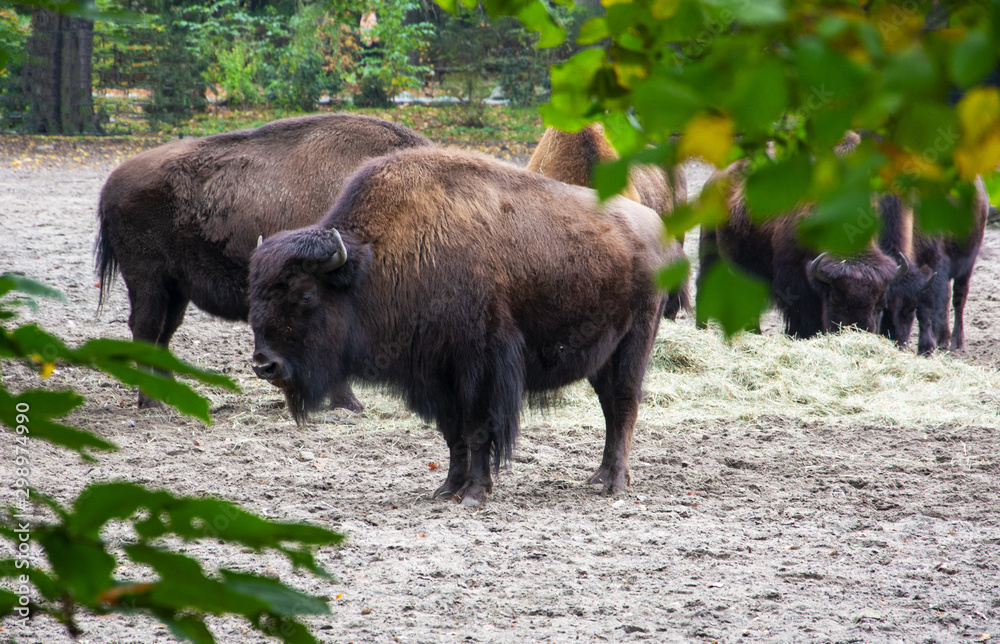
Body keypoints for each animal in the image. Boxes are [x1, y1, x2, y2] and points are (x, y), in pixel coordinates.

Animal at [94, 113, 434, 410]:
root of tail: (110, 185)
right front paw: (349, 404)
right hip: (147, 279)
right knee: (146, 328)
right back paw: (151, 402)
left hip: (176, 287)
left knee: (164, 333)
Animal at [248, 146, 680, 504]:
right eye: (253, 293)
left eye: (306, 294)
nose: (264, 364)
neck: (375, 261)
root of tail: (656, 228)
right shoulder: (436, 376)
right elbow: (453, 434)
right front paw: (447, 489)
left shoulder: (479, 367)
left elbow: (476, 429)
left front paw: (474, 493)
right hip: (602, 357)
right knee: (610, 409)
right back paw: (599, 477)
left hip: (634, 344)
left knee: (624, 405)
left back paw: (614, 483)